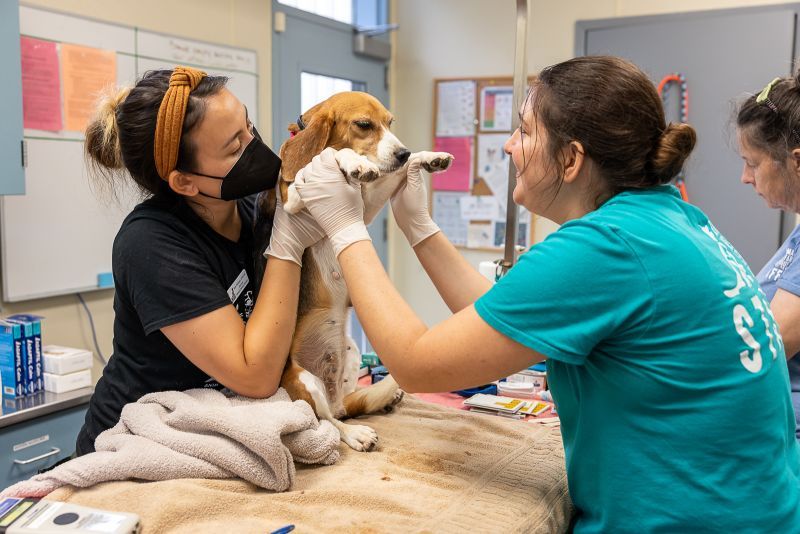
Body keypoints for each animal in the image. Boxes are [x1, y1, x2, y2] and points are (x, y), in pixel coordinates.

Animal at [256, 92, 454, 452]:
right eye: (364, 124)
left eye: (390, 122)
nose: (402, 152)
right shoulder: (292, 201)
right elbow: (335, 155)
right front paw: (352, 161)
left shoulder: (366, 206)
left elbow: (387, 177)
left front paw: (429, 157)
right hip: (304, 382)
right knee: (327, 422)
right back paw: (357, 434)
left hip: (350, 352)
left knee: (342, 409)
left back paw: (382, 399)